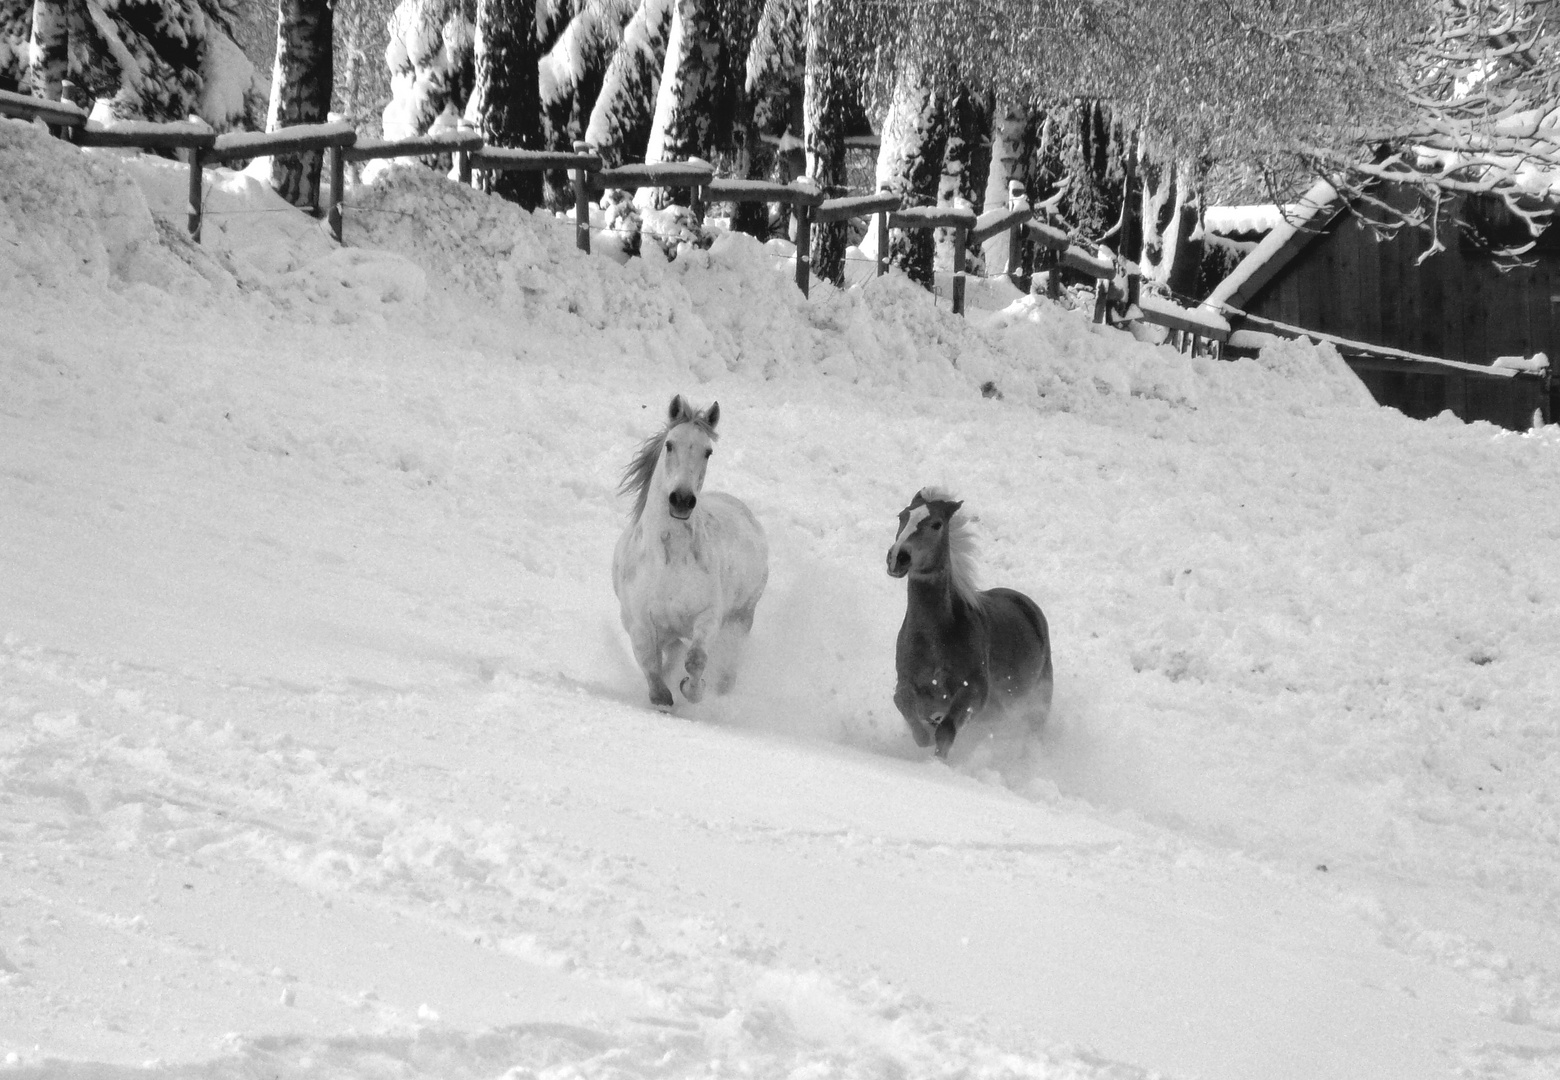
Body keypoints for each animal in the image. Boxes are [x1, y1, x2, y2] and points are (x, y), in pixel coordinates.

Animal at [608, 396, 767, 708]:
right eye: (670, 444)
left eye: (708, 452)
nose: (681, 500)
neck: (669, 563)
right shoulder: (639, 623)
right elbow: (652, 670)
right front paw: (664, 697)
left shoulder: (708, 618)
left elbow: (695, 661)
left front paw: (691, 689)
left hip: (740, 620)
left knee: (726, 671)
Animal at [886, 490, 1054, 758]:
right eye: (902, 516)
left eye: (937, 524)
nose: (898, 558)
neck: (936, 636)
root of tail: (1028, 606)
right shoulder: (908, 683)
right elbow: (905, 705)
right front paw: (923, 737)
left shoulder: (973, 690)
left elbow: (945, 731)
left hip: (1036, 706)